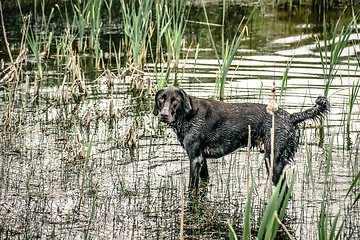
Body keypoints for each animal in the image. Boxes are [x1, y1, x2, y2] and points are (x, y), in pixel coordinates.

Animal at [152, 86, 330, 193]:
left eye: (175, 101)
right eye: (161, 99)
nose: (164, 115)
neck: (187, 115)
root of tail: (291, 117)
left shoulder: (195, 159)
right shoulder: (202, 160)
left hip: (273, 162)